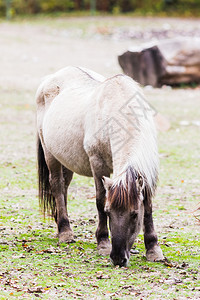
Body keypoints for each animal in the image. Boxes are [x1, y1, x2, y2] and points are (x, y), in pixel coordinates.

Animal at [36, 66, 164, 268]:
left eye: (135, 214)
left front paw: (153, 249)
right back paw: (65, 232)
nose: (118, 258)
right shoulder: (97, 164)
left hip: (66, 161)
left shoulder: (147, 173)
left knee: (63, 188)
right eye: (108, 212)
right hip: (51, 155)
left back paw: (60, 225)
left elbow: (149, 206)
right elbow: (99, 199)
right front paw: (103, 243)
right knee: (56, 185)